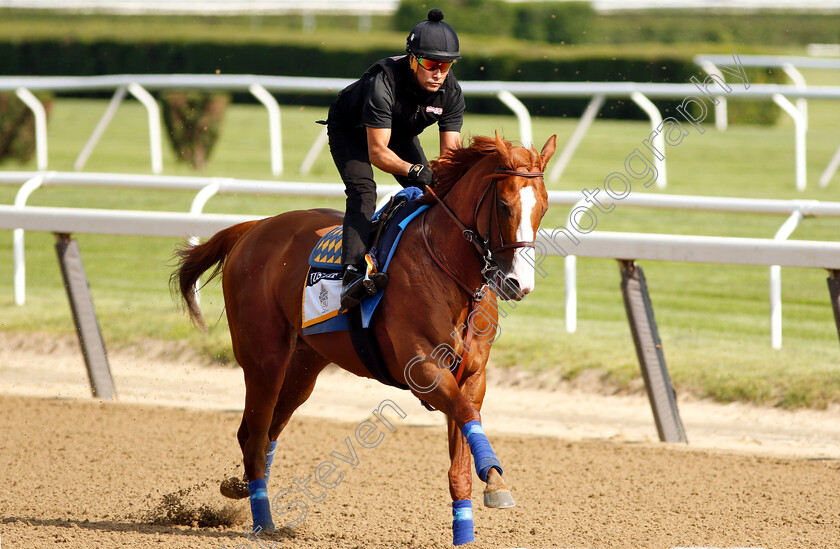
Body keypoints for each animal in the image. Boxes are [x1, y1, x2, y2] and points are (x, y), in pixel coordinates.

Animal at [171, 133, 556, 544]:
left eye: (544, 206)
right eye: (503, 204)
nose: (518, 284)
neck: (449, 273)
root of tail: (255, 227)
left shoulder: (472, 375)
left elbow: (464, 445)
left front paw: (472, 520)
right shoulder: (422, 368)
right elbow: (467, 414)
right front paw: (495, 481)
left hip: (304, 366)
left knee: (266, 429)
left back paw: (241, 487)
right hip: (264, 359)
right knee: (255, 438)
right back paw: (263, 521)